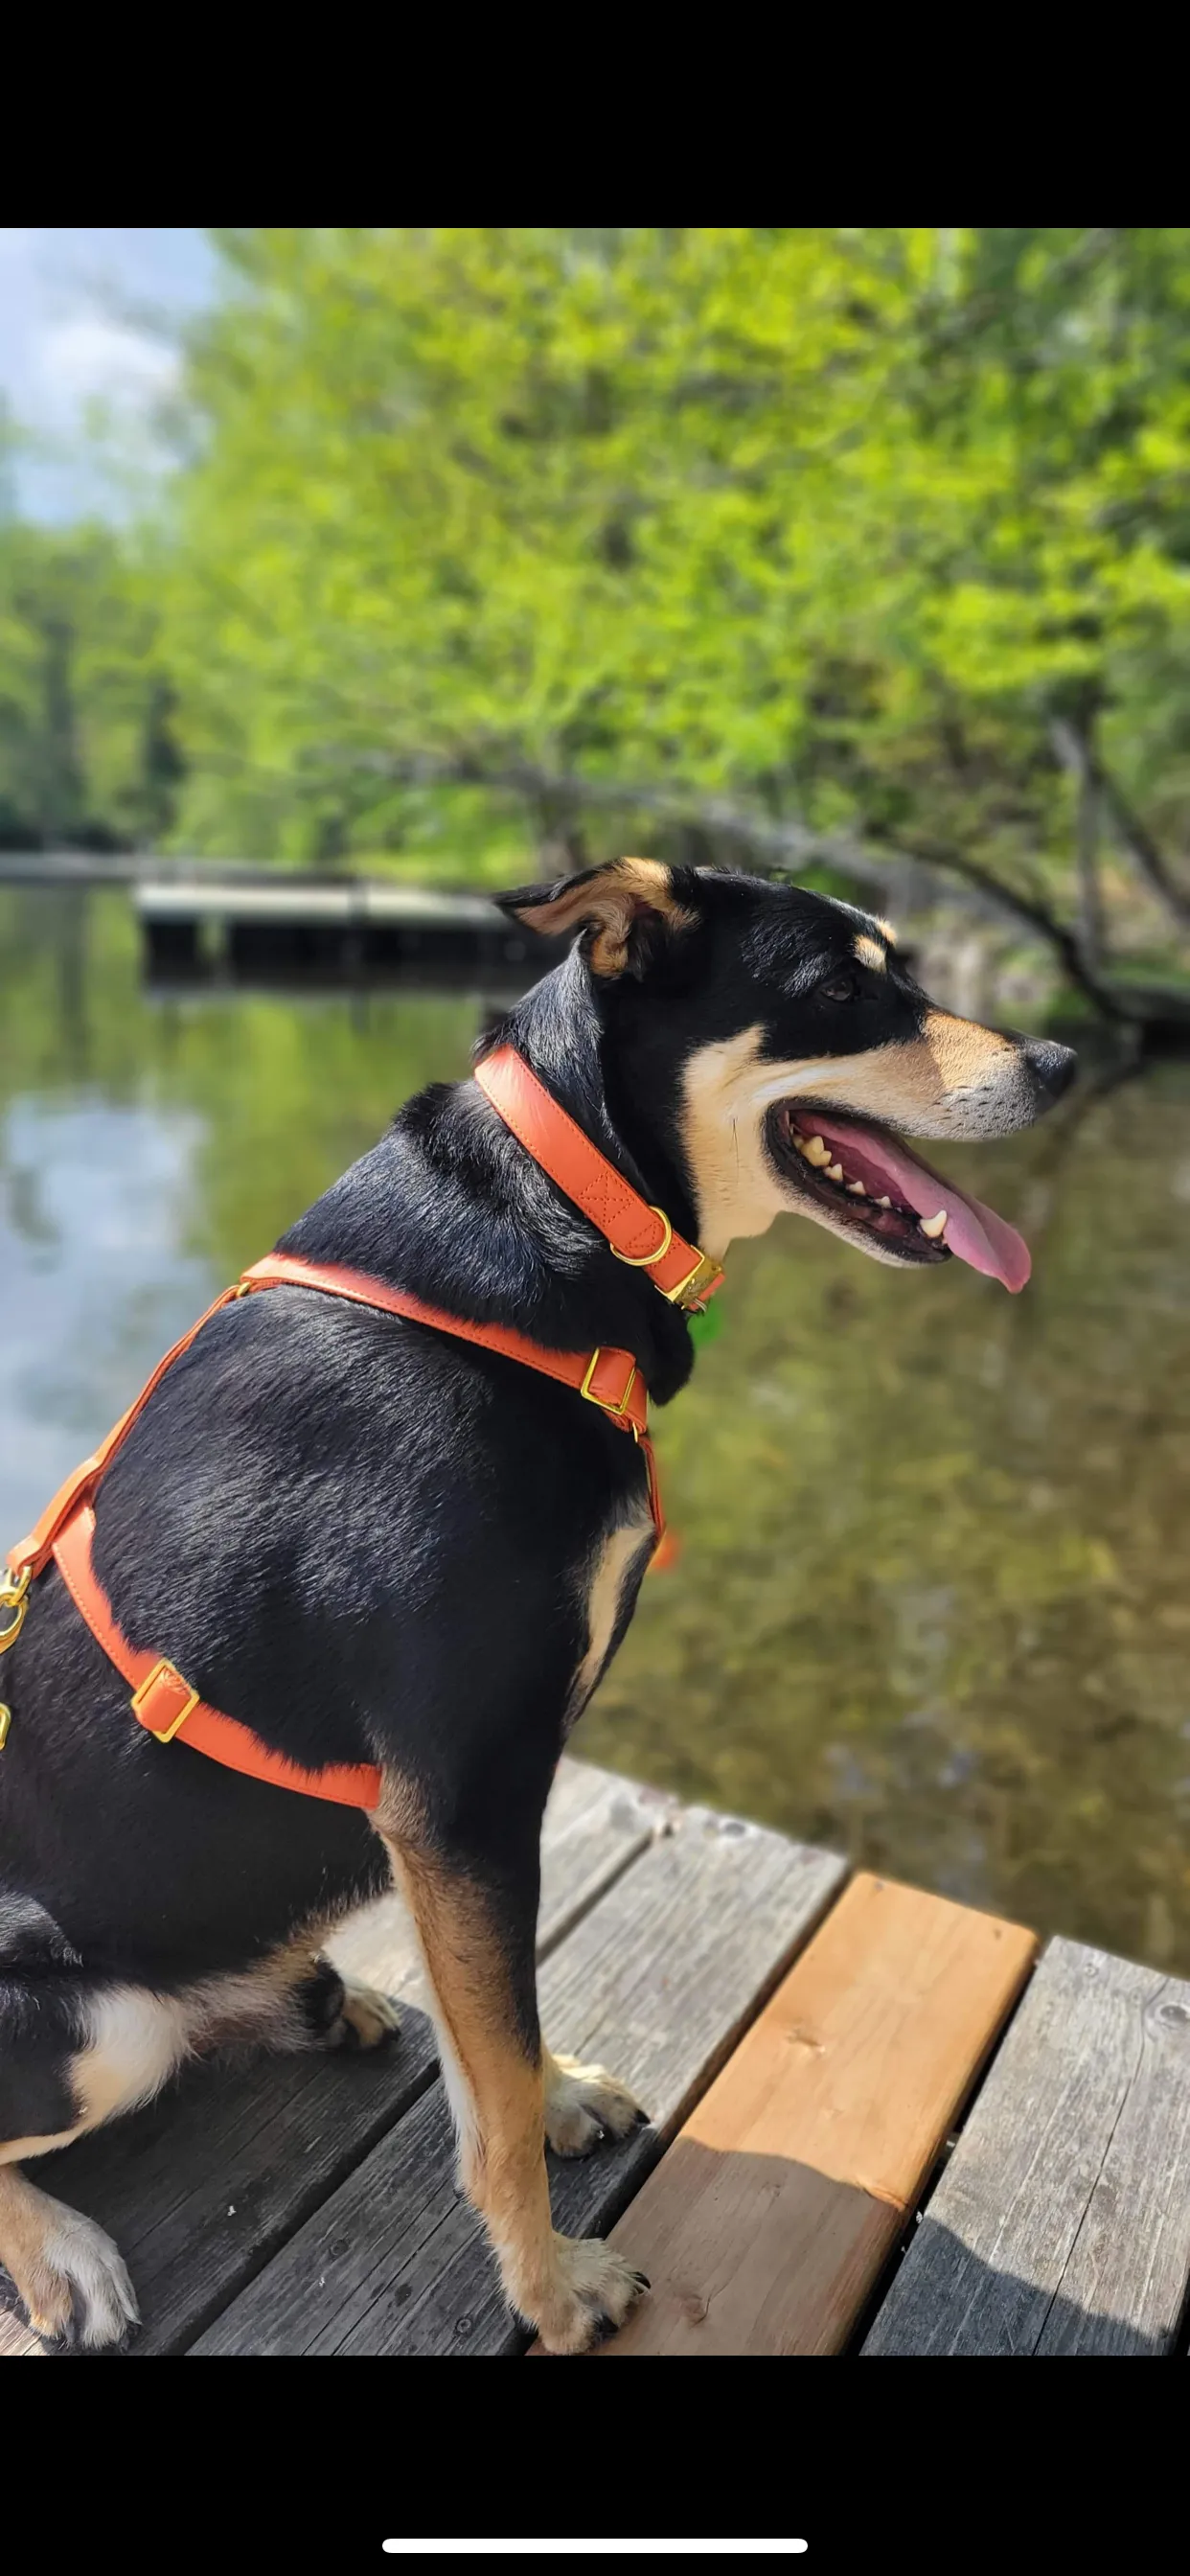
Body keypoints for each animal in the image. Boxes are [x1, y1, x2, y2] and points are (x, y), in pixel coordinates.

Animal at [0, 865, 1076, 2359]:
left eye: (905, 970)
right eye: (837, 991)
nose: (1064, 1062)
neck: (557, 1212)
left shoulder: (448, 1822)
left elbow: (495, 2038)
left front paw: (556, 2095)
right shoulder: (462, 1792)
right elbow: (493, 2079)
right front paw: (553, 2286)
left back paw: (319, 2000)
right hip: (86, 2022)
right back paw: (60, 2250)